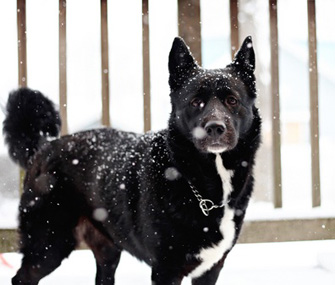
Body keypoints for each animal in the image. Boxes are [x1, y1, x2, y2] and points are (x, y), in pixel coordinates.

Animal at [3, 36, 262, 282]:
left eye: (232, 100)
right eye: (195, 102)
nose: (215, 128)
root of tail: (44, 147)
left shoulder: (210, 269)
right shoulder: (166, 269)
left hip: (106, 252)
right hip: (49, 245)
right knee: (21, 277)